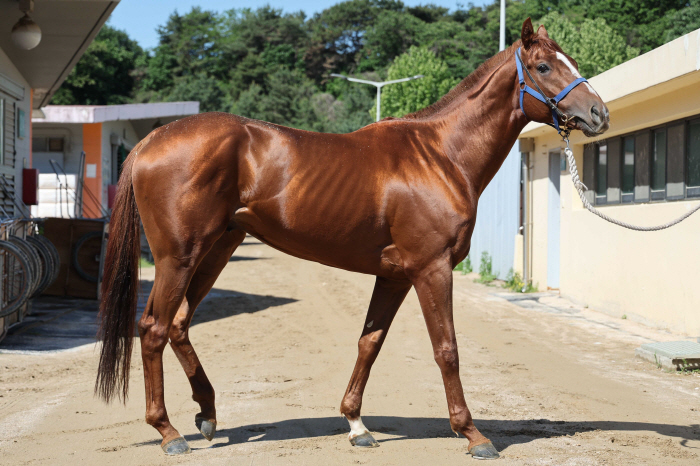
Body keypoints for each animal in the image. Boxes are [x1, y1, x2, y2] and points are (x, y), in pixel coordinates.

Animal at [97, 19, 608, 458]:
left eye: (569, 60)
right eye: (544, 66)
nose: (598, 113)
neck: (441, 155)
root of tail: (150, 141)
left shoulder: (396, 275)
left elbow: (370, 342)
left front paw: (356, 425)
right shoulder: (432, 268)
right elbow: (447, 350)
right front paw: (473, 434)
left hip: (216, 250)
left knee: (179, 325)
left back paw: (206, 413)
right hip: (178, 257)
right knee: (153, 329)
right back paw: (168, 432)